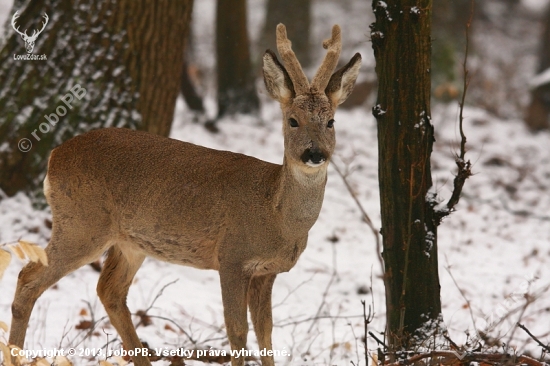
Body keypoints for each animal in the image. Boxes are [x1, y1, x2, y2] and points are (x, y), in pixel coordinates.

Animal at [9, 24, 362, 364]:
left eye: (331, 121)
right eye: (293, 121)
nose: (314, 153)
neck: (276, 215)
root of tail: (54, 156)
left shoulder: (268, 271)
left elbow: (266, 334)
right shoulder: (232, 257)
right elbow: (237, 331)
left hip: (129, 242)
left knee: (109, 290)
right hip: (81, 224)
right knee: (28, 279)